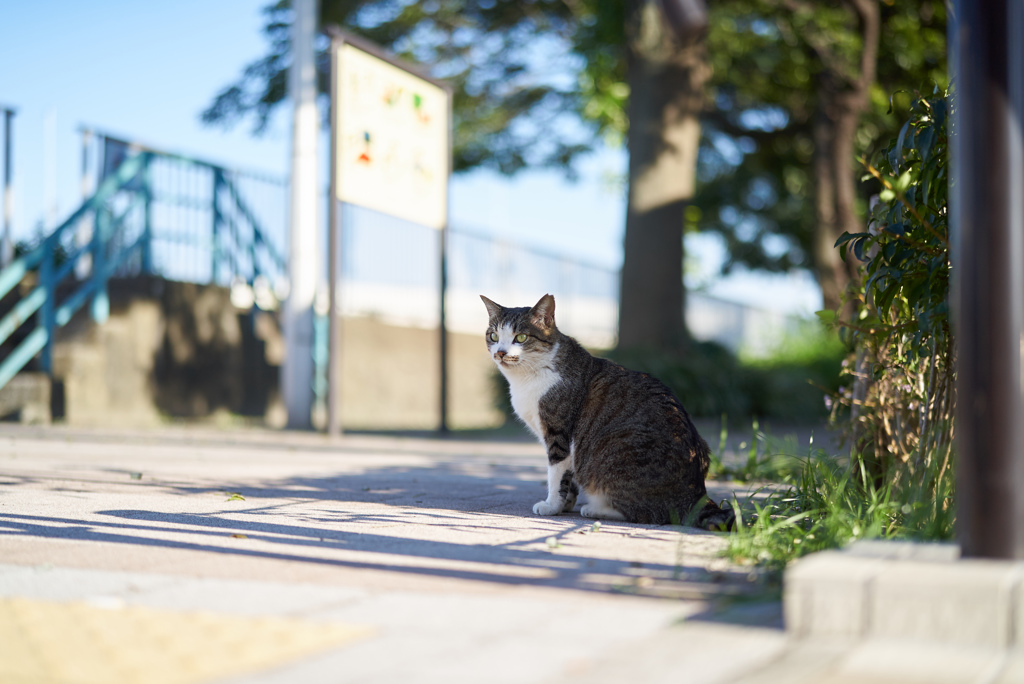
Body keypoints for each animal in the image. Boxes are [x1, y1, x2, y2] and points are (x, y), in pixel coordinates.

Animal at [481, 290, 733, 532]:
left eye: (521, 337)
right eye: (494, 336)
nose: (500, 352)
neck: (527, 377)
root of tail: (695, 493)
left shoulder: (558, 433)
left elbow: (556, 474)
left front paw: (551, 505)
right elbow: (570, 477)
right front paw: (565, 505)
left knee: (649, 514)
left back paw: (595, 509)